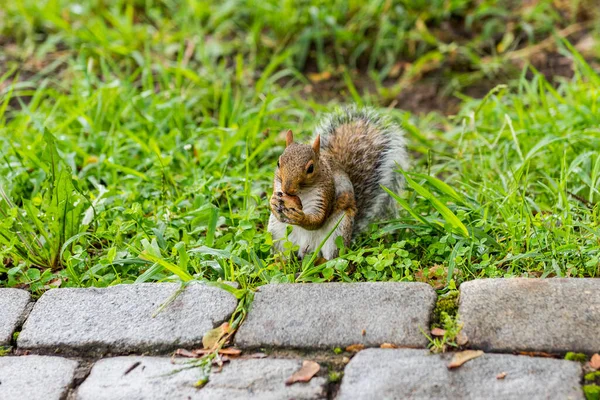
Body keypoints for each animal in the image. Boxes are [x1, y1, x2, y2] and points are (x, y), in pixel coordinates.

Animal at [270, 105, 410, 260]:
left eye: (311, 168)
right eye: (278, 163)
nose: (287, 189)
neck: (303, 192)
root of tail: (307, 248)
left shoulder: (326, 193)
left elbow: (318, 220)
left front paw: (300, 217)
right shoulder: (278, 184)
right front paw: (273, 201)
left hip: (339, 230)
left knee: (332, 258)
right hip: (277, 232)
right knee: (283, 253)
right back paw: (280, 262)